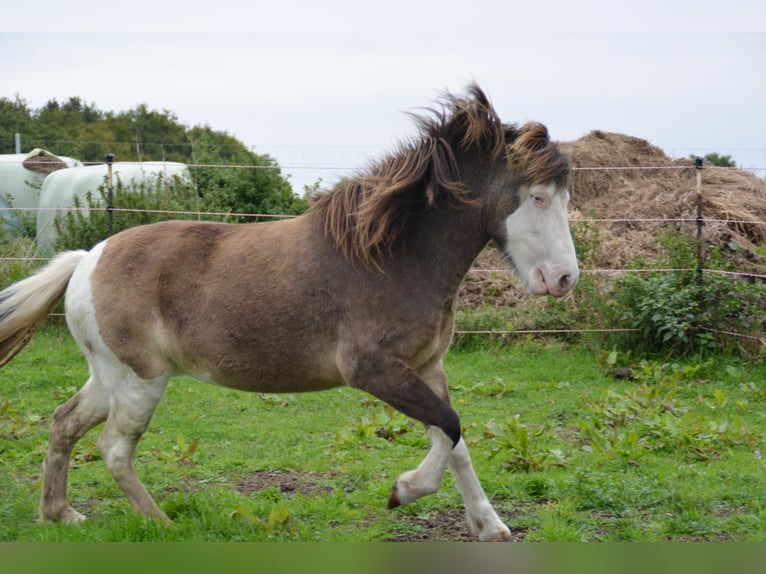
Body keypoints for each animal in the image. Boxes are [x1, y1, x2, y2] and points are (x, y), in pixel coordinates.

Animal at [0, 85, 578, 541]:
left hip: (110, 376)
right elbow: (450, 426)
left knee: (64, 423)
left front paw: (490, 526)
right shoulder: (371, 370)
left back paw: (61, 514)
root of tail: (85, 259)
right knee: (115, 449)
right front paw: (402, 491)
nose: (564, 280)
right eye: (538, 197)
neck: (390, 256)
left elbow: (453, 437)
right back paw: (163, 524)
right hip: (140, 381)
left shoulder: (428, 367)